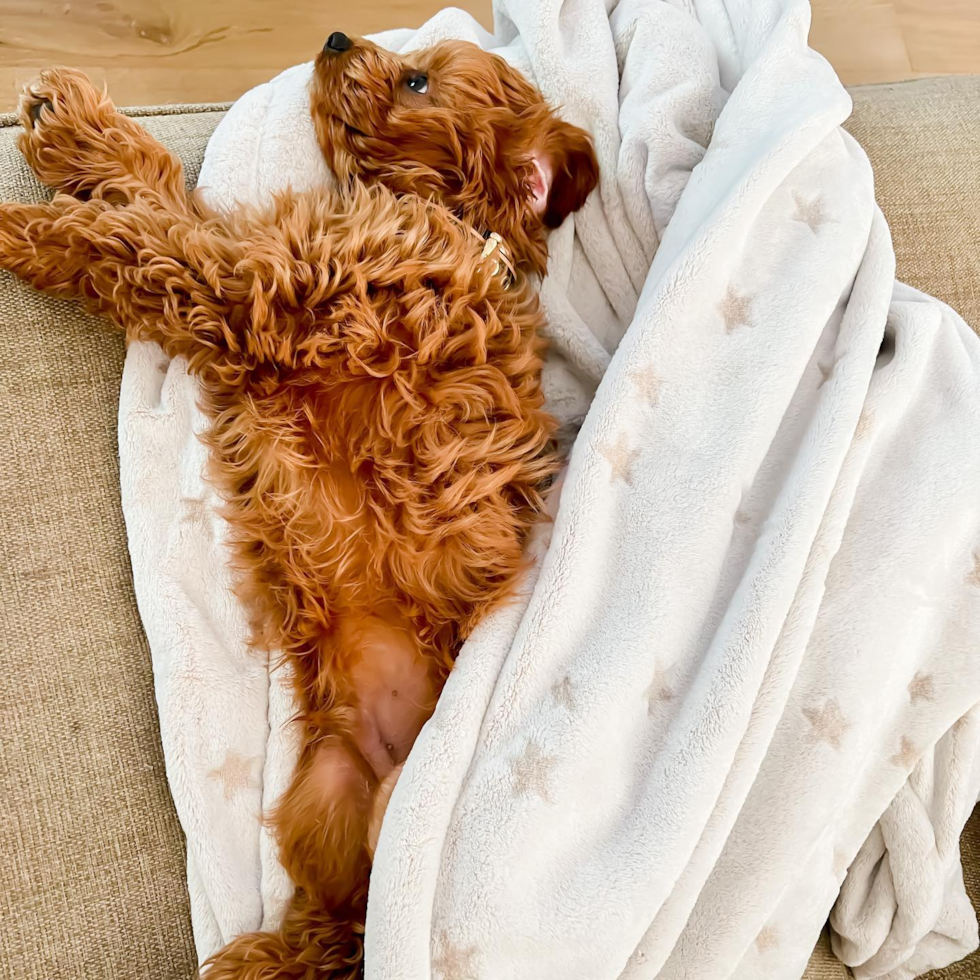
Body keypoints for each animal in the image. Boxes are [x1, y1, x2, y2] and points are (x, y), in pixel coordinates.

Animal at [0, 32, 596, 980]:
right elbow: (161, 193)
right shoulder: (263, 258)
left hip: (395, 832)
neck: (452, 223)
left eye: (417, 80)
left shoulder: (264, 295)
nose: (336, 38)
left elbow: (140, 239)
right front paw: (77, 133)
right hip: (326, 801)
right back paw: (255, 959)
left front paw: (32, 228)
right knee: (327, 932)